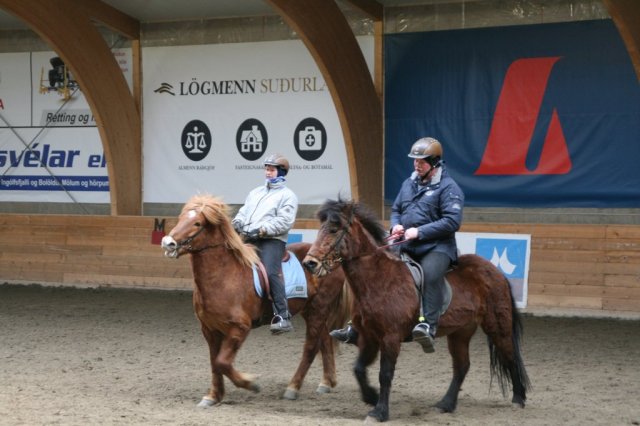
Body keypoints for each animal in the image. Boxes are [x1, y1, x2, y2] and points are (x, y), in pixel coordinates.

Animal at [161, 194, 350, 406]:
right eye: (180, 218)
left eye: (197, 223)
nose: (168, 242)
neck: (224, 277)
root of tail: (331, 260)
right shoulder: (209, 329)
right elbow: (214, 362)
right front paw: (213, 396)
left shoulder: (240, 328)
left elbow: (222, 362)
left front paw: (249, 383)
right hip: (310, 310)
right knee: (324, 339)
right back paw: (326, 382)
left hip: (319, 307)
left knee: (311, 346)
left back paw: (293, 388)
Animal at [302, 199, 532, 422]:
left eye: (334, 229)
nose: (309, 263)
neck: (378, 280)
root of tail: (495, 272)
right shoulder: (369, 337)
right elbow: (358, 369)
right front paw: (371, 397)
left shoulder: (390, 337)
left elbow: (385, 374)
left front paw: (380, 412)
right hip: (460, 332)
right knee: (462, 366)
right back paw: (446, 404)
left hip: (497, 326)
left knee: (510, 355)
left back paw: (518, 399)